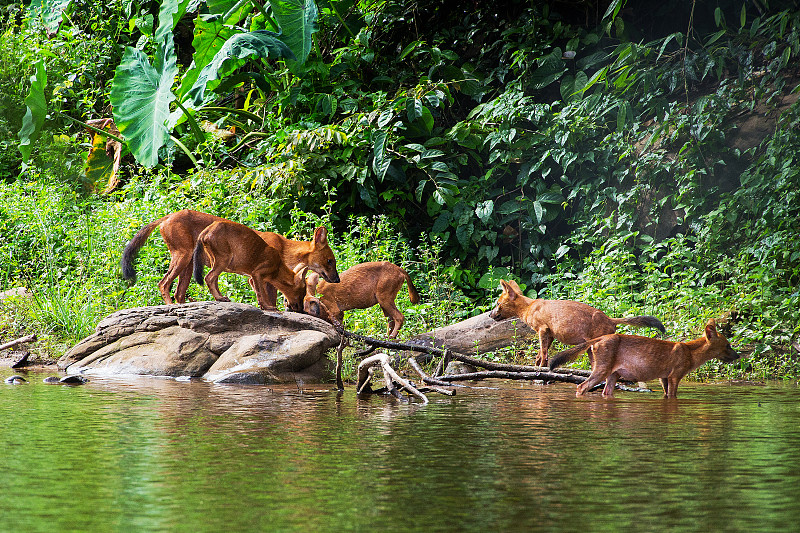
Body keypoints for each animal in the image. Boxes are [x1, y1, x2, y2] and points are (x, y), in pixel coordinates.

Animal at [119, 210, 338, 306]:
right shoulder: (258, 275)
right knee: (164, 283)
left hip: (188, 265)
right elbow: (269, 298)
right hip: (184, 256)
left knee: (179, 292)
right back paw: (171, 306)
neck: (284, 248)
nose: (337, 279)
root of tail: (166, 217)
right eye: (330, 261)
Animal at [488, 278, 668, 366]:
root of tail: (610, 319)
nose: (490, 314)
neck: (528, 308)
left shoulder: (542, 329)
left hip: (595, 344)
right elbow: (539, 355)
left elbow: (544, 355)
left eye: (497, 303)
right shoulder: (550, 333)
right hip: (590, 346)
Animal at [552, 318, 736, 396]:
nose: (738, 355)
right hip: (602, 369)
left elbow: (666, 394)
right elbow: (673, 396)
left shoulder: (663, 377)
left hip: (613, 374)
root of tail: (600, 338)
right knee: (581, 387)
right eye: (728, 345)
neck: (691, 353)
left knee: (606, 392)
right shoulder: (675, 375)